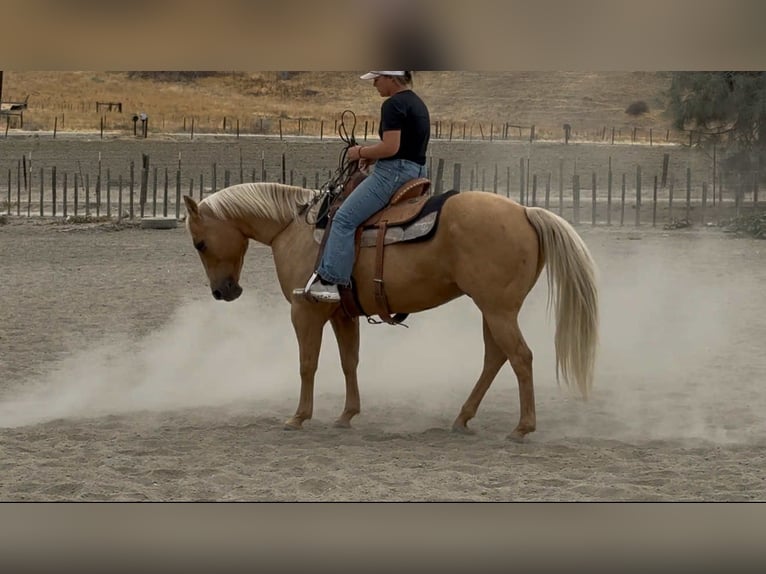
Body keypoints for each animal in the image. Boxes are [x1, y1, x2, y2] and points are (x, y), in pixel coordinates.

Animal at [182, 179, 599, 441]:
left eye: (200, 243)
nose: (223, 292)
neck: (295, 228)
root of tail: (526, 211)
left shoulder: (305, 311)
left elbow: (307, 364)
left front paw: (298, 417)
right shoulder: (341, 314)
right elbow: (349, 361)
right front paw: (347, 415)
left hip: (498, 310)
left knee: (521, 358)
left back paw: (522, 427)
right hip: (491, 309)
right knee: (495, 358)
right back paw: (462, 418)